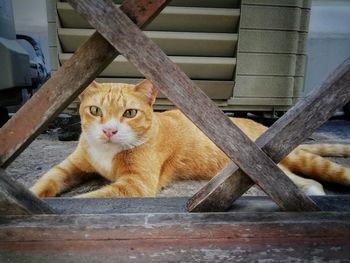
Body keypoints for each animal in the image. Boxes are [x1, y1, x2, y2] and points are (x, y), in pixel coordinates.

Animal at [30, 80, 350, 198]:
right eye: (95, 110)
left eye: (130, 113)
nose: (109, 130)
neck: (107, 151)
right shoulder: (69, 168)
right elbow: (45, 182)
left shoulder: (136, 183)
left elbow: (92, 198)